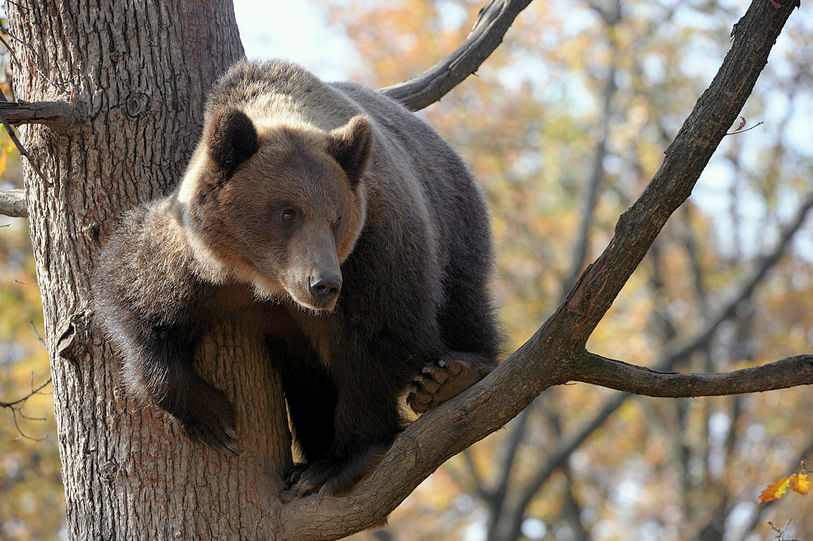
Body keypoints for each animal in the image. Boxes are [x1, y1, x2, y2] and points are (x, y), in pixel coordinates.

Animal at [95, 59, 502, 494]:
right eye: (288, 213)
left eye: (336, 219)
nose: (323, 284)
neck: (264, 281)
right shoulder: (196, 259)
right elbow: (137, 297)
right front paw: (214, 418)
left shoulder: (376, 248)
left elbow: (380, 336)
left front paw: (340, 460)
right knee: (308, 383)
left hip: (453, 219)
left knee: (462, 299)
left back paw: (451, 375)